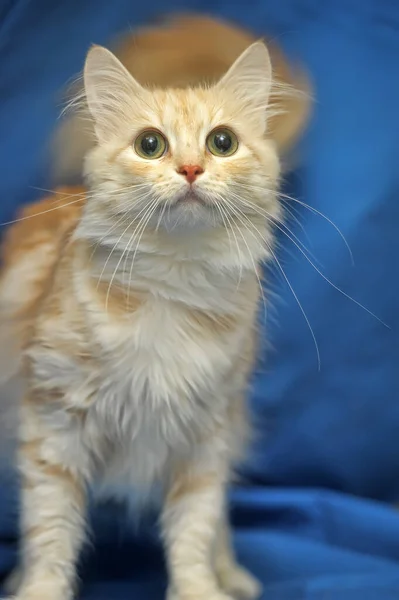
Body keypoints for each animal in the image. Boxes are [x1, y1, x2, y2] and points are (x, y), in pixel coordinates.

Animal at [0, 36, 288, 600]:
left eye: (222, 142)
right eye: (150, 145)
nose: (192, 170)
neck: (173, 284)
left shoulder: (204, 438)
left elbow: (194, 532)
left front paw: (201, 589)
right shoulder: (52, 426)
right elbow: (50, 532)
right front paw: (39, 589)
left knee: (220, 523)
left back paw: (232, 575)